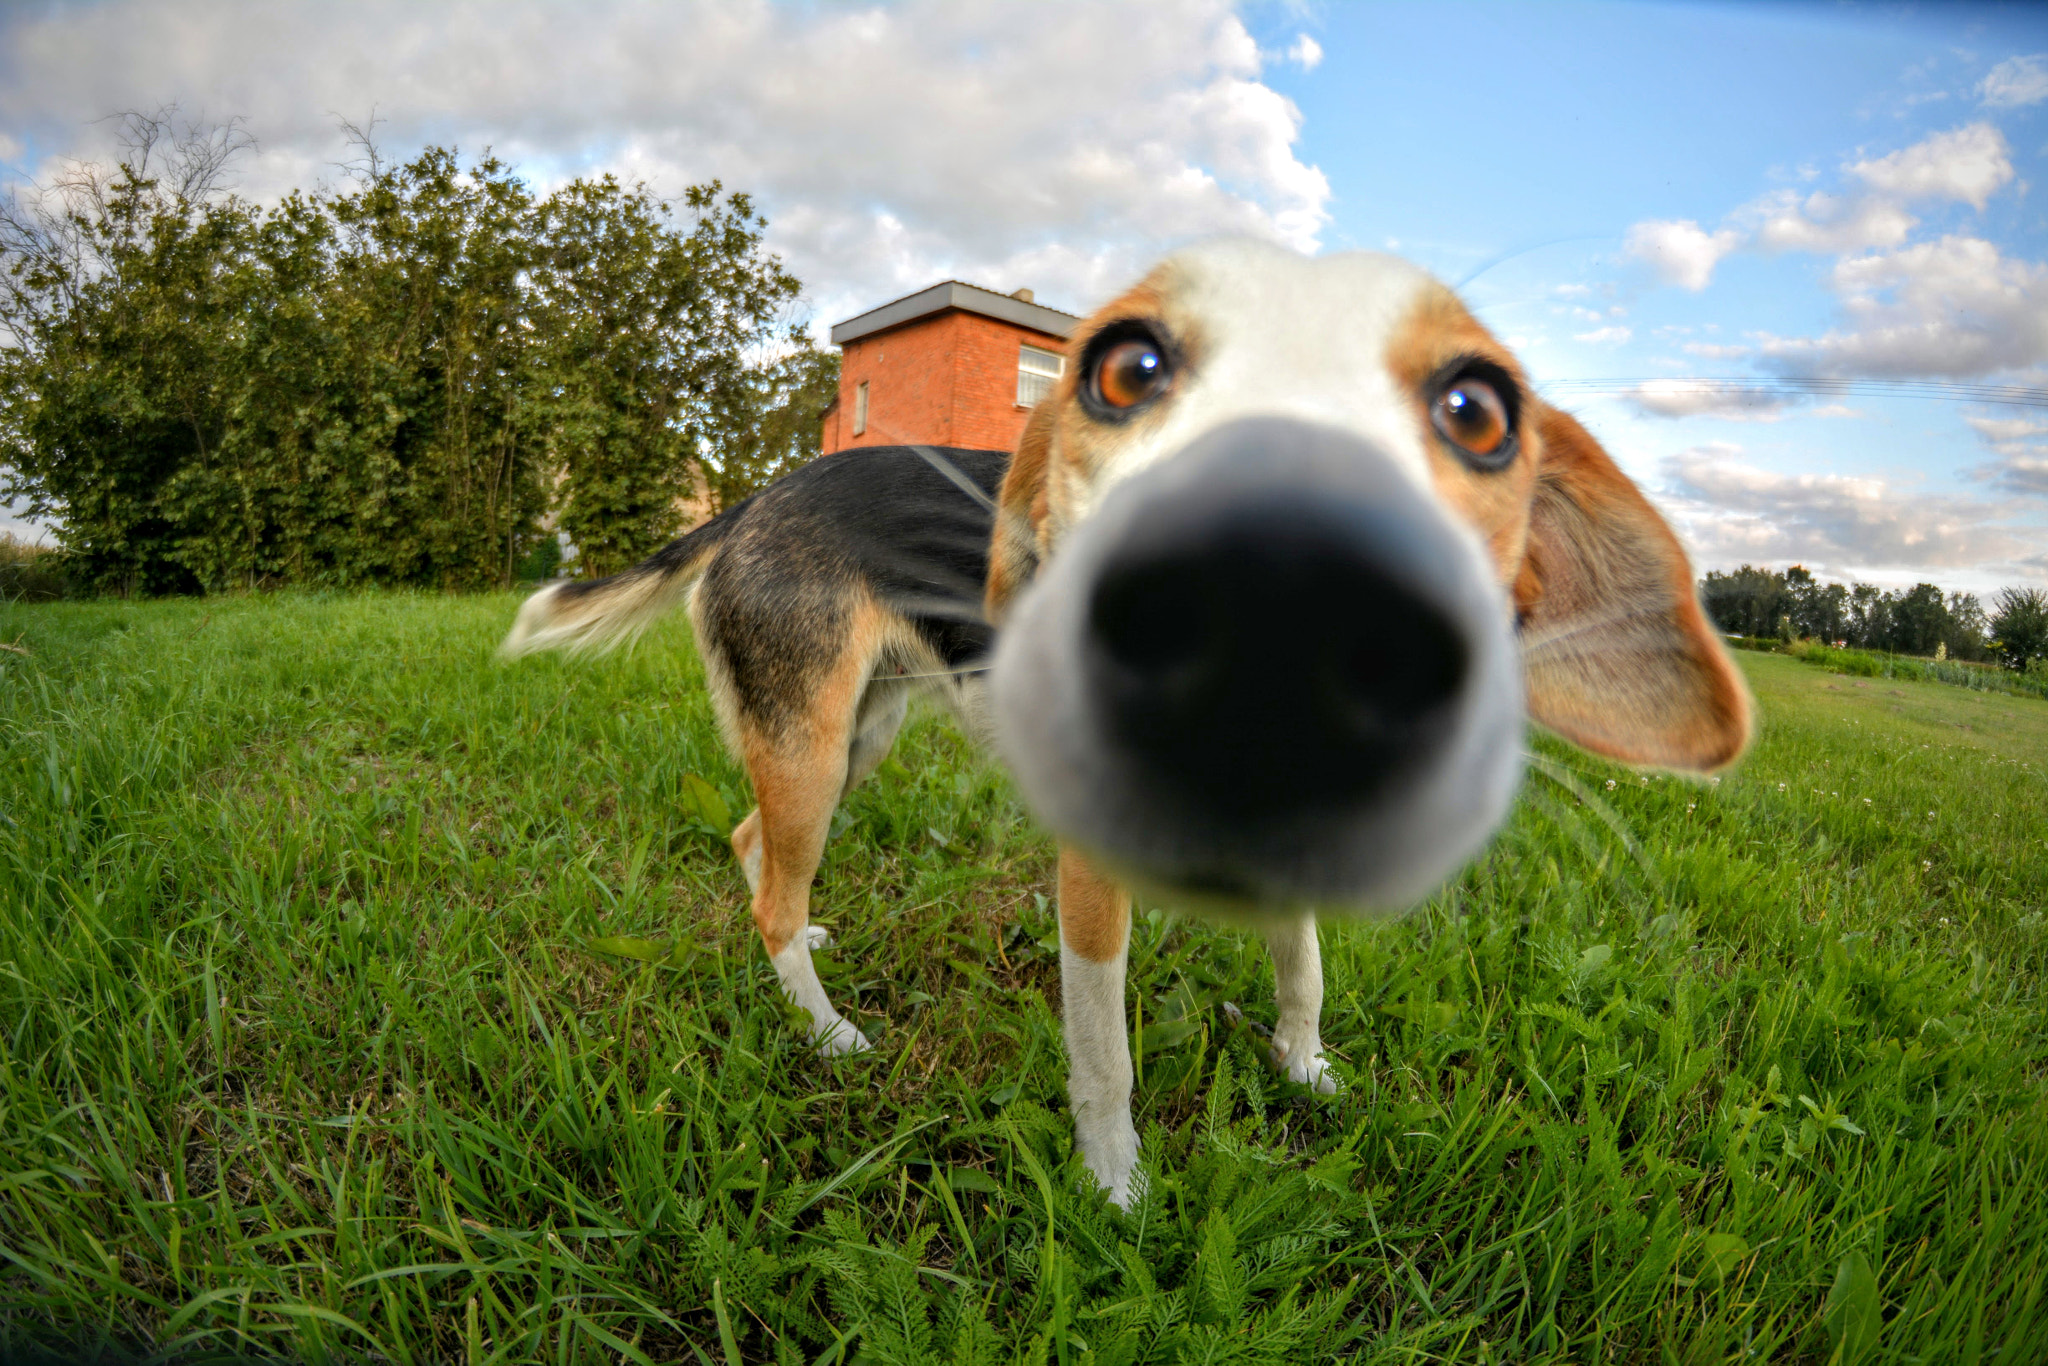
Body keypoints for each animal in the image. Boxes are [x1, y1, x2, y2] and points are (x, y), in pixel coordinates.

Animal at [503, 237, 1753, 1204]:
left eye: (1471, 412)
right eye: (1129, 369)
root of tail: (757, 497)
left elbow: (1302, 969)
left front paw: (1304, 1069)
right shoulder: (1088, 882)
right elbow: (1104, 1055)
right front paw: (1116, 1188)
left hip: (856, 735)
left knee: (752, 848)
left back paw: (806, 951)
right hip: (814, 747)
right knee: (768, 883)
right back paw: (827, 1031)